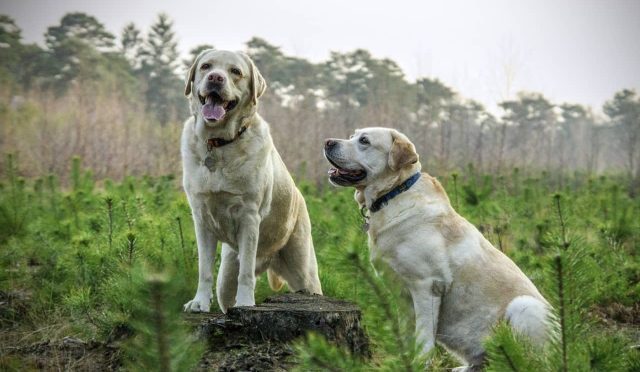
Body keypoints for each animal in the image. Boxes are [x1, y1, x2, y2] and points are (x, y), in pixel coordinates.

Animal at [181, 48, 320, 312]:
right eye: (206, 66)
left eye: (235, 71)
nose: (216, 78)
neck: (220, 144)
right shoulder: (201, 219)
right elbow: (204, 269)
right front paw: (199, 302)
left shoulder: (249, 216)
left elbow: (245, 273)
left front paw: (246, 303)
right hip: (226, 276)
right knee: (226, 292)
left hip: (304, 271)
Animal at [324, 127, 552, 370]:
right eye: (352, 135)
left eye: (364, 141)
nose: (328, 142)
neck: (394, 193)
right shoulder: (402, 295)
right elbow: (407, 334)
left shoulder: (427, 286)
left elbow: (424, 339)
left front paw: (418, 364)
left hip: (524, 306)